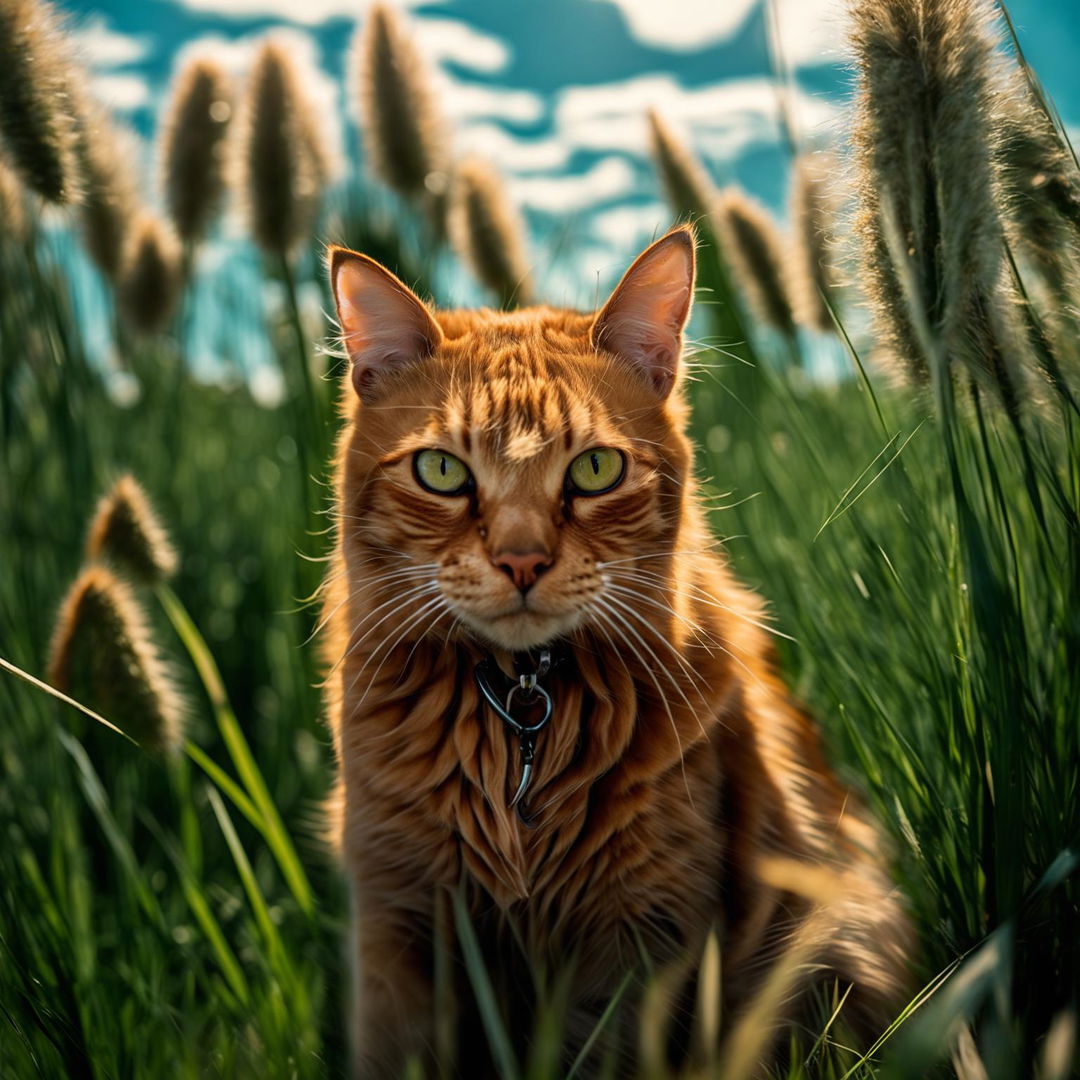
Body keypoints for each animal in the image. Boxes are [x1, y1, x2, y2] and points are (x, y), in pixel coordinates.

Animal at [319, 225, 911, 1071]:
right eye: (442, 470)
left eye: (595, 469)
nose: (522, 559)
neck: (520, 720)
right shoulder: (397, 926)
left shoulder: (640, 940)